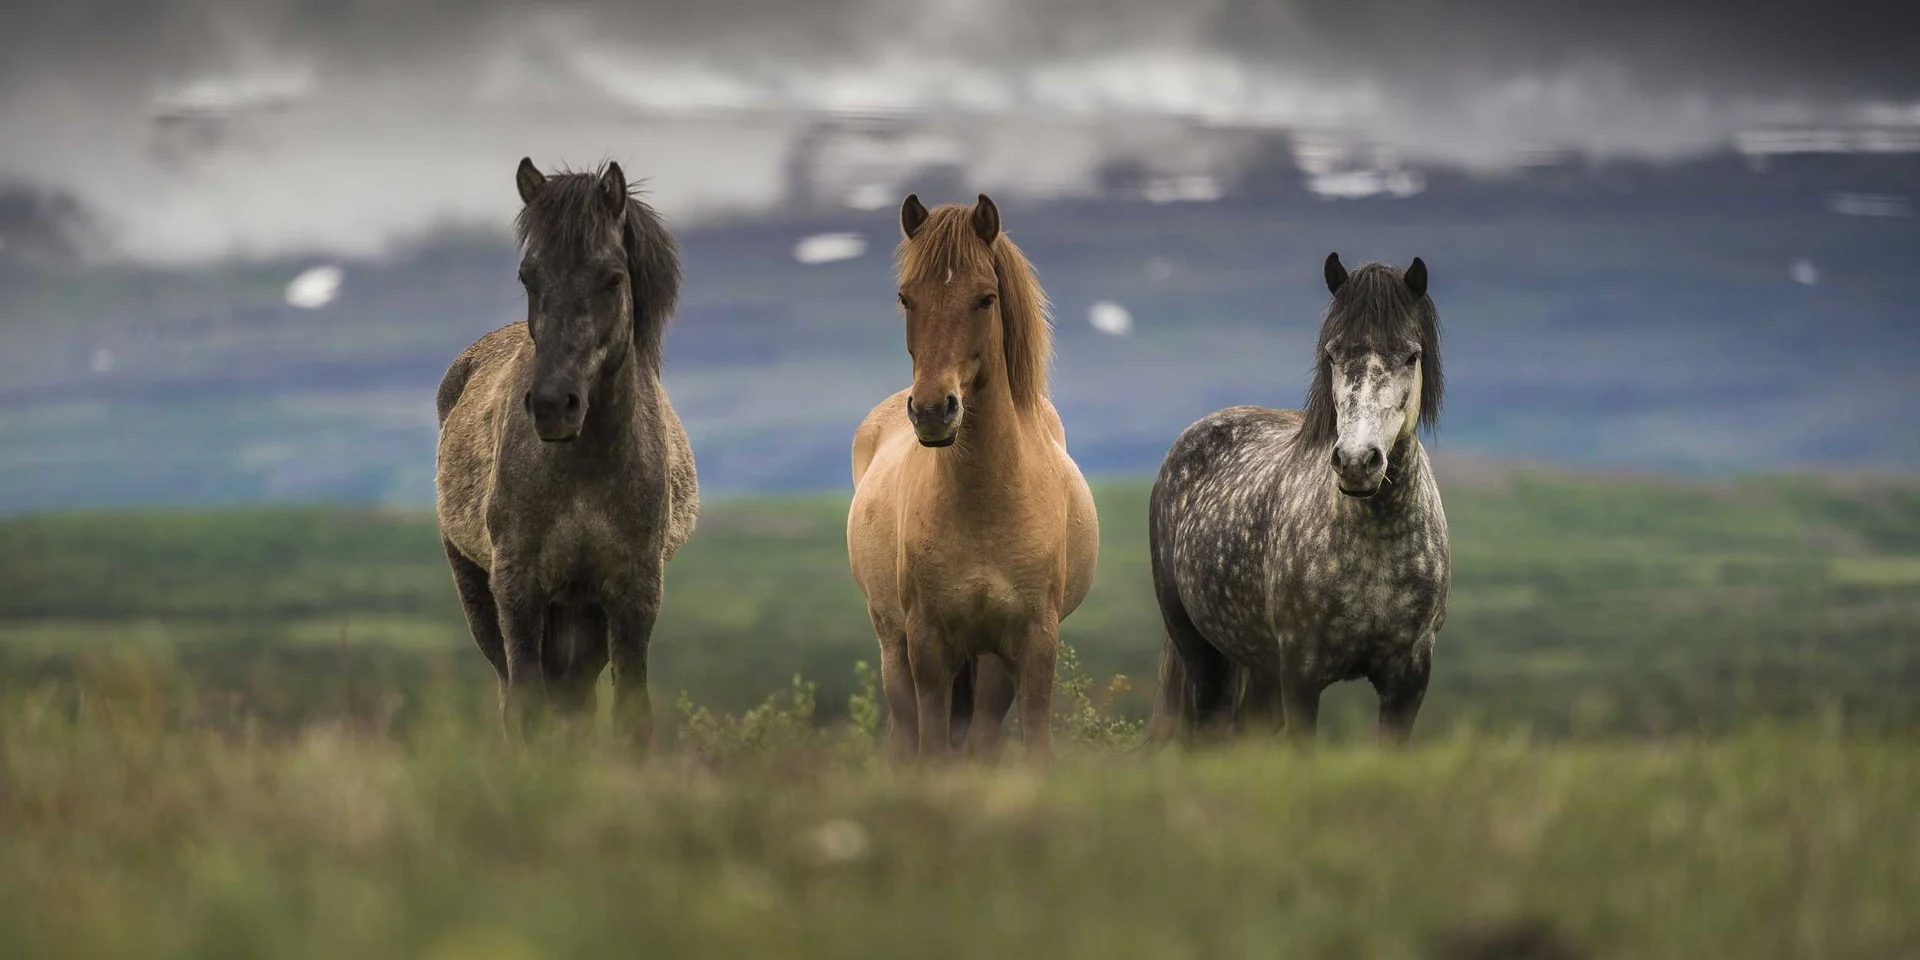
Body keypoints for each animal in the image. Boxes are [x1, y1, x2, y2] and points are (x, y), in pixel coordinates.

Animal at [435, 157, 698, 744]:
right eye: (528, 276)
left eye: (612, 278)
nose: (554, 405)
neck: (586, 469)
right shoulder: (517, 587)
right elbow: (527, 708)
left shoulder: (633, 592)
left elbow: (630, 713)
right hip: (480, 593)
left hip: (584, 616)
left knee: (575, 700)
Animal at [848, 196, 1105, 764]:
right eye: (906, 297)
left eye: (986, 299)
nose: (931, 411)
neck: (985, 502)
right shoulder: (926, 643)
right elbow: (931, 747)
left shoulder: (1033, 641)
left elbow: (1031, 744)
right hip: (893, 645)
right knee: (906, 734)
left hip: (990, 661)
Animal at [1144, 253, 1443, 741]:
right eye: (1332, 354)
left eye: (1411, 355)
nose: (1357, 461)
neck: (1375, 544)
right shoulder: (1301, 674)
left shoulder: (1409, 679)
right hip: (1201, 652)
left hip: (1259, 666)